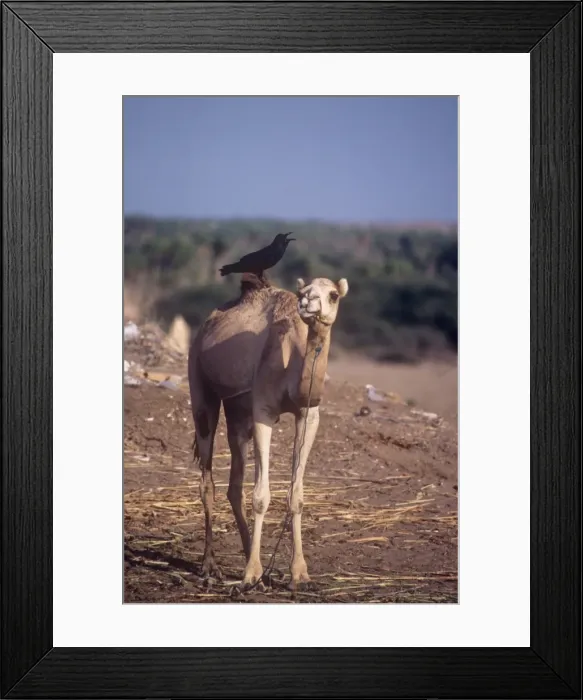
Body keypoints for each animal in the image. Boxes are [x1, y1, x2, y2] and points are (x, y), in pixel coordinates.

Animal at [188, 273, 348, 590]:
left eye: (334, 295)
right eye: (305, 290)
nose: (308, 302)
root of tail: (206, 324)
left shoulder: (309, 414)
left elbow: (296, 495)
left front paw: (299, 574)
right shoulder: (263, 409)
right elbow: (261, 496)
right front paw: (250, 573)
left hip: (238, 409)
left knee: (234, 483)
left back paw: (257, 565)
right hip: (199, 381)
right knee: (207, 479)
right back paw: (210, 566)